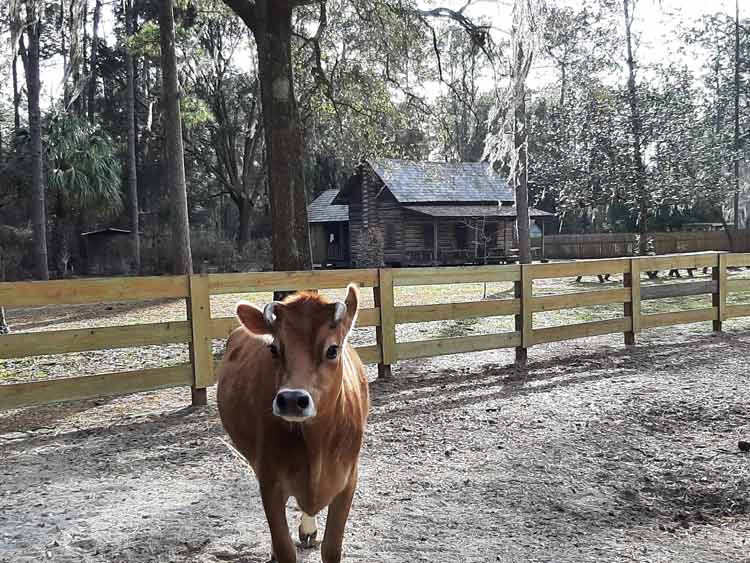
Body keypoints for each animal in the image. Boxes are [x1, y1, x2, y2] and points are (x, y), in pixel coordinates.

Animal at [217, 284, 370, 563]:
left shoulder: (348, 480)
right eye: (274, 349)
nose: (290, 399)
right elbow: (285, 547)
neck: (317, 444)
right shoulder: (269, 482)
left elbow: (332, 549)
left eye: (332, 350)